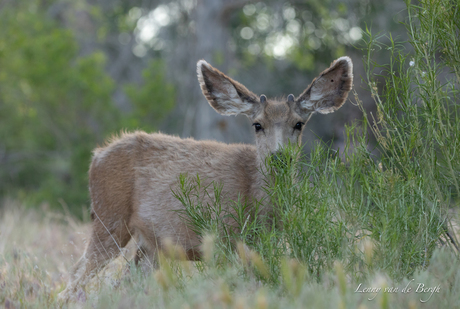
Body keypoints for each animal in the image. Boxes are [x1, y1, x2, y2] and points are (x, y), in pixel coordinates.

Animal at [57, 55, 352, 300]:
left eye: (298, 124)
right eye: (257, 124)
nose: (279, 157)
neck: (257, 198)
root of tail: (96, 156)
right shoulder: (224, 236)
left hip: (148, 245)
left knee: (124, 283)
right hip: (109, 217)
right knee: (74, 277)